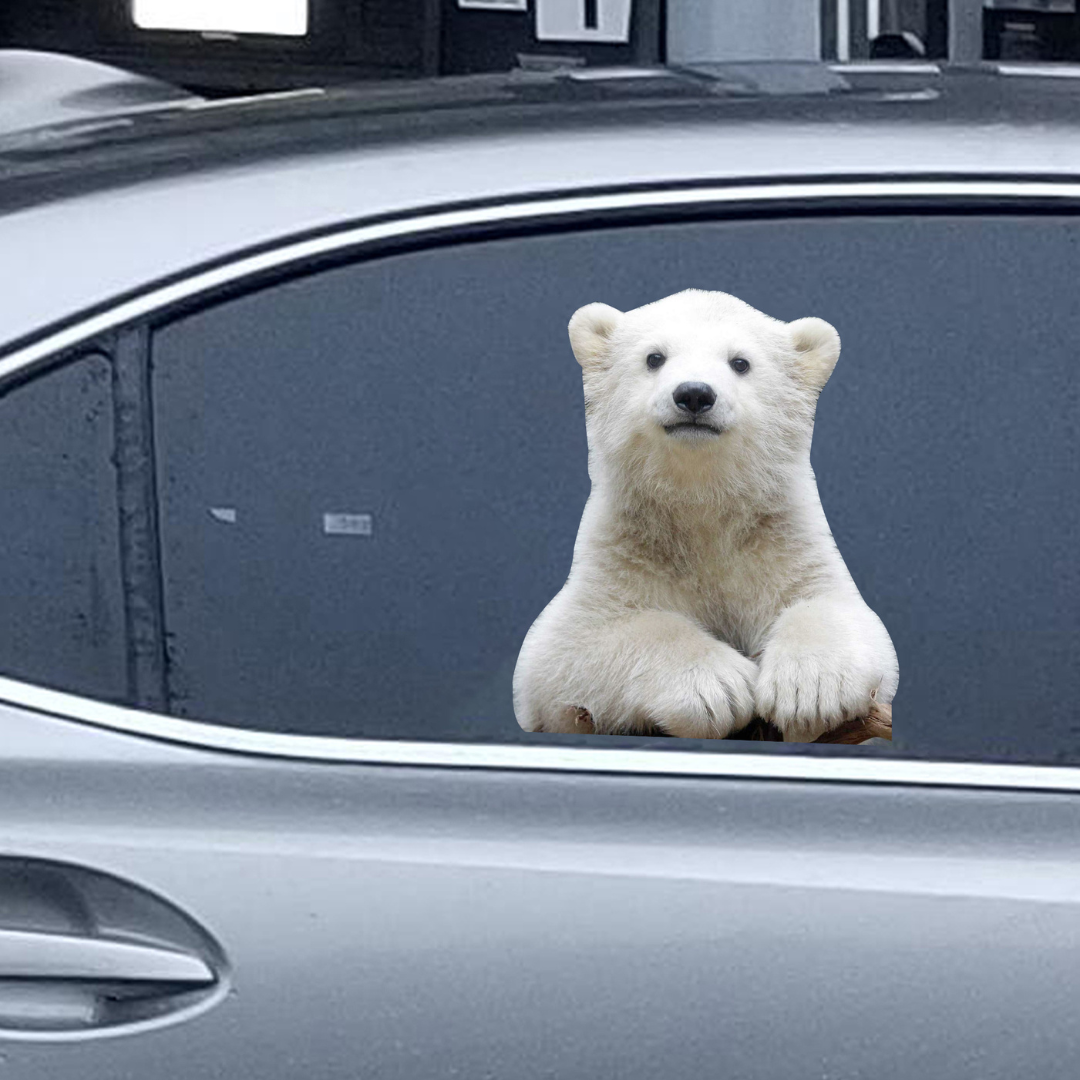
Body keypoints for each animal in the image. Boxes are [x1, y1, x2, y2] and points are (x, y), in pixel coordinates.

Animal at [512, 288, 898, 742]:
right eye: (654, 357)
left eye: (740, 362)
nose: (694, 394)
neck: (700, 503)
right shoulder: (626, 551)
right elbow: (566, 646)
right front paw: (719, 689)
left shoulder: (779, 539)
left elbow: (840, 609)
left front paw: (810, 689)